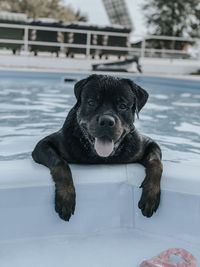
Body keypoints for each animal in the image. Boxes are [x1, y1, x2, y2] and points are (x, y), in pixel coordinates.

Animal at [32, 75, 162, 222]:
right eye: (91, 102)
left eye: (122, 106)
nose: (106, 121)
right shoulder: (44, 145)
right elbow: (60, 163)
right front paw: (66, 197)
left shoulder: (147, 145)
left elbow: (156, 163)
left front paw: (151, 195)